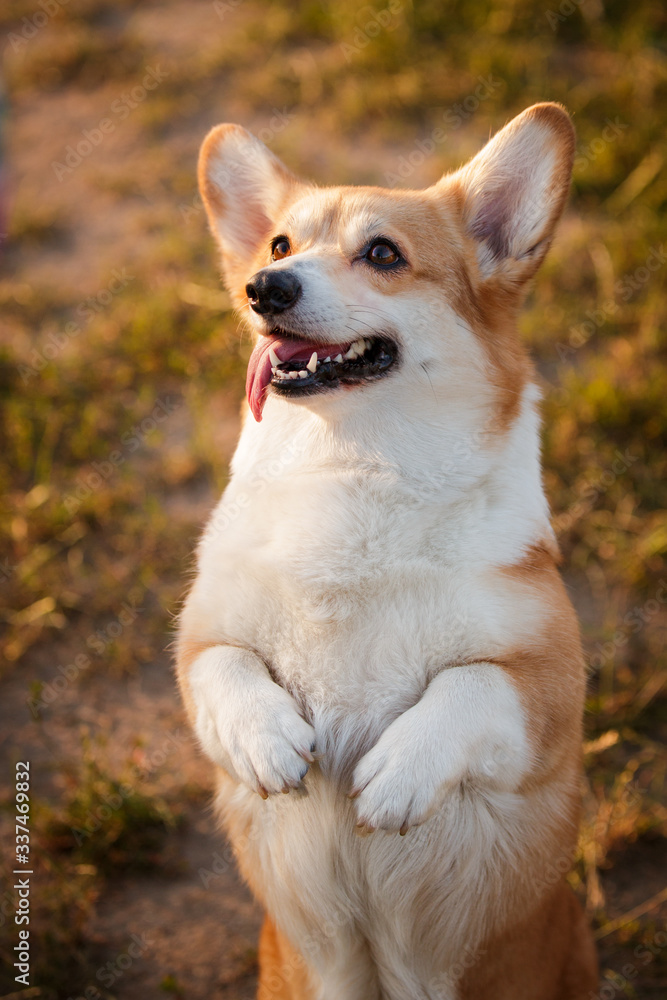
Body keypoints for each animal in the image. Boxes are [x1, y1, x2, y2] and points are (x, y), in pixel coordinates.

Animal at [176, 105, 600, 996]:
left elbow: (470, 685)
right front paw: (270, 745)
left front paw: (396, 775)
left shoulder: (547, 692)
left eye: (382, 254)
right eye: (278, 243)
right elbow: (223, 668)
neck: (353, 465)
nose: (265, 288)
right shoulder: (199, 639)